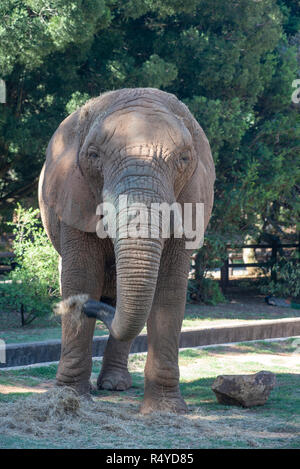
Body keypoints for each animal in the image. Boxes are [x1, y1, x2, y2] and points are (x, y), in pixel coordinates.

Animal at [38, 88, 214, 414]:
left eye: (184, 158)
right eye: (93, 155)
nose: (86, 306)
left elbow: (170, 289)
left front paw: (166, 410)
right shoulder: (74, 196)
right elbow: (80, 278)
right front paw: (68, 397)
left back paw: (115, 385)